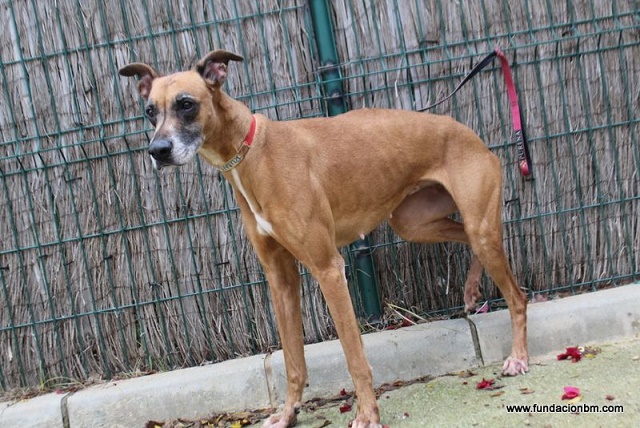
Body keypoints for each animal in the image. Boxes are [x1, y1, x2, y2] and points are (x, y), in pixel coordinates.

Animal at [120, 49, 528, 428]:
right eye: (149, 111)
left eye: (186, 104)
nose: (157, 151)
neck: (251, 152)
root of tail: (468, 133)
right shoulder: (281, 280)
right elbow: (293, 360)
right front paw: (288, 414)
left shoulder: (329, 268)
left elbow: (354, 354)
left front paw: (368, 414)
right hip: (415, 223)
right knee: (466, 239)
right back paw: (472, 290)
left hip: (480, 226)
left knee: (517, 295)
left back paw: (518, 357)